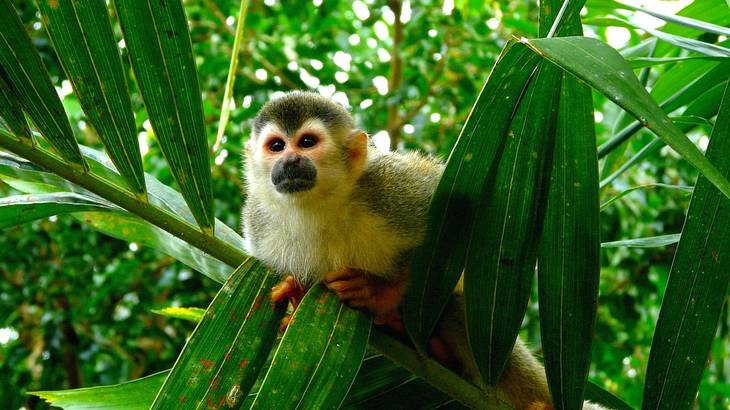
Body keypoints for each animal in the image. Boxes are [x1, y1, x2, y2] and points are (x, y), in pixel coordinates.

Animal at [242, 93, 600, 410]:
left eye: (306, 142)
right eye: (277, 146)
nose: (290, 161)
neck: (320, 207)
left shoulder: (389, 189)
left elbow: (468, 217)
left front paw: (378, 292)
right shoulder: (260, 228)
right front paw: (296, 295)